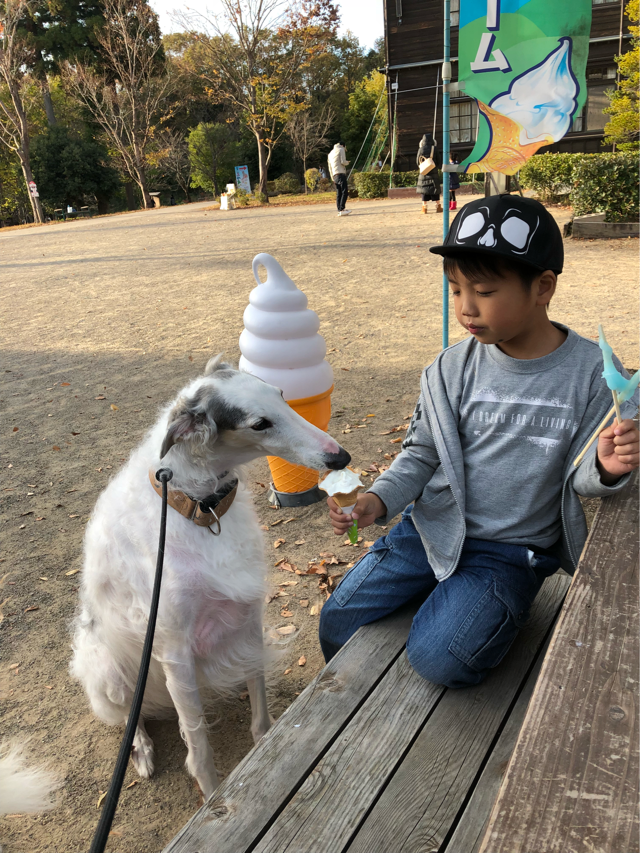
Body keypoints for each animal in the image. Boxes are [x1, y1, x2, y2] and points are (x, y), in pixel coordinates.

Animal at [70, 355, 350, 798]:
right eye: (259, 424)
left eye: (281, 394)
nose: (341, 457)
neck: (196, 507)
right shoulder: (174, 651)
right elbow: (198, 746)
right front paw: (212, 796)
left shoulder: (247, 616)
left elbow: (259, 707)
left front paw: (265, 744)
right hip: (106, 669)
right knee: (131, 718)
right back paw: (141, 749)